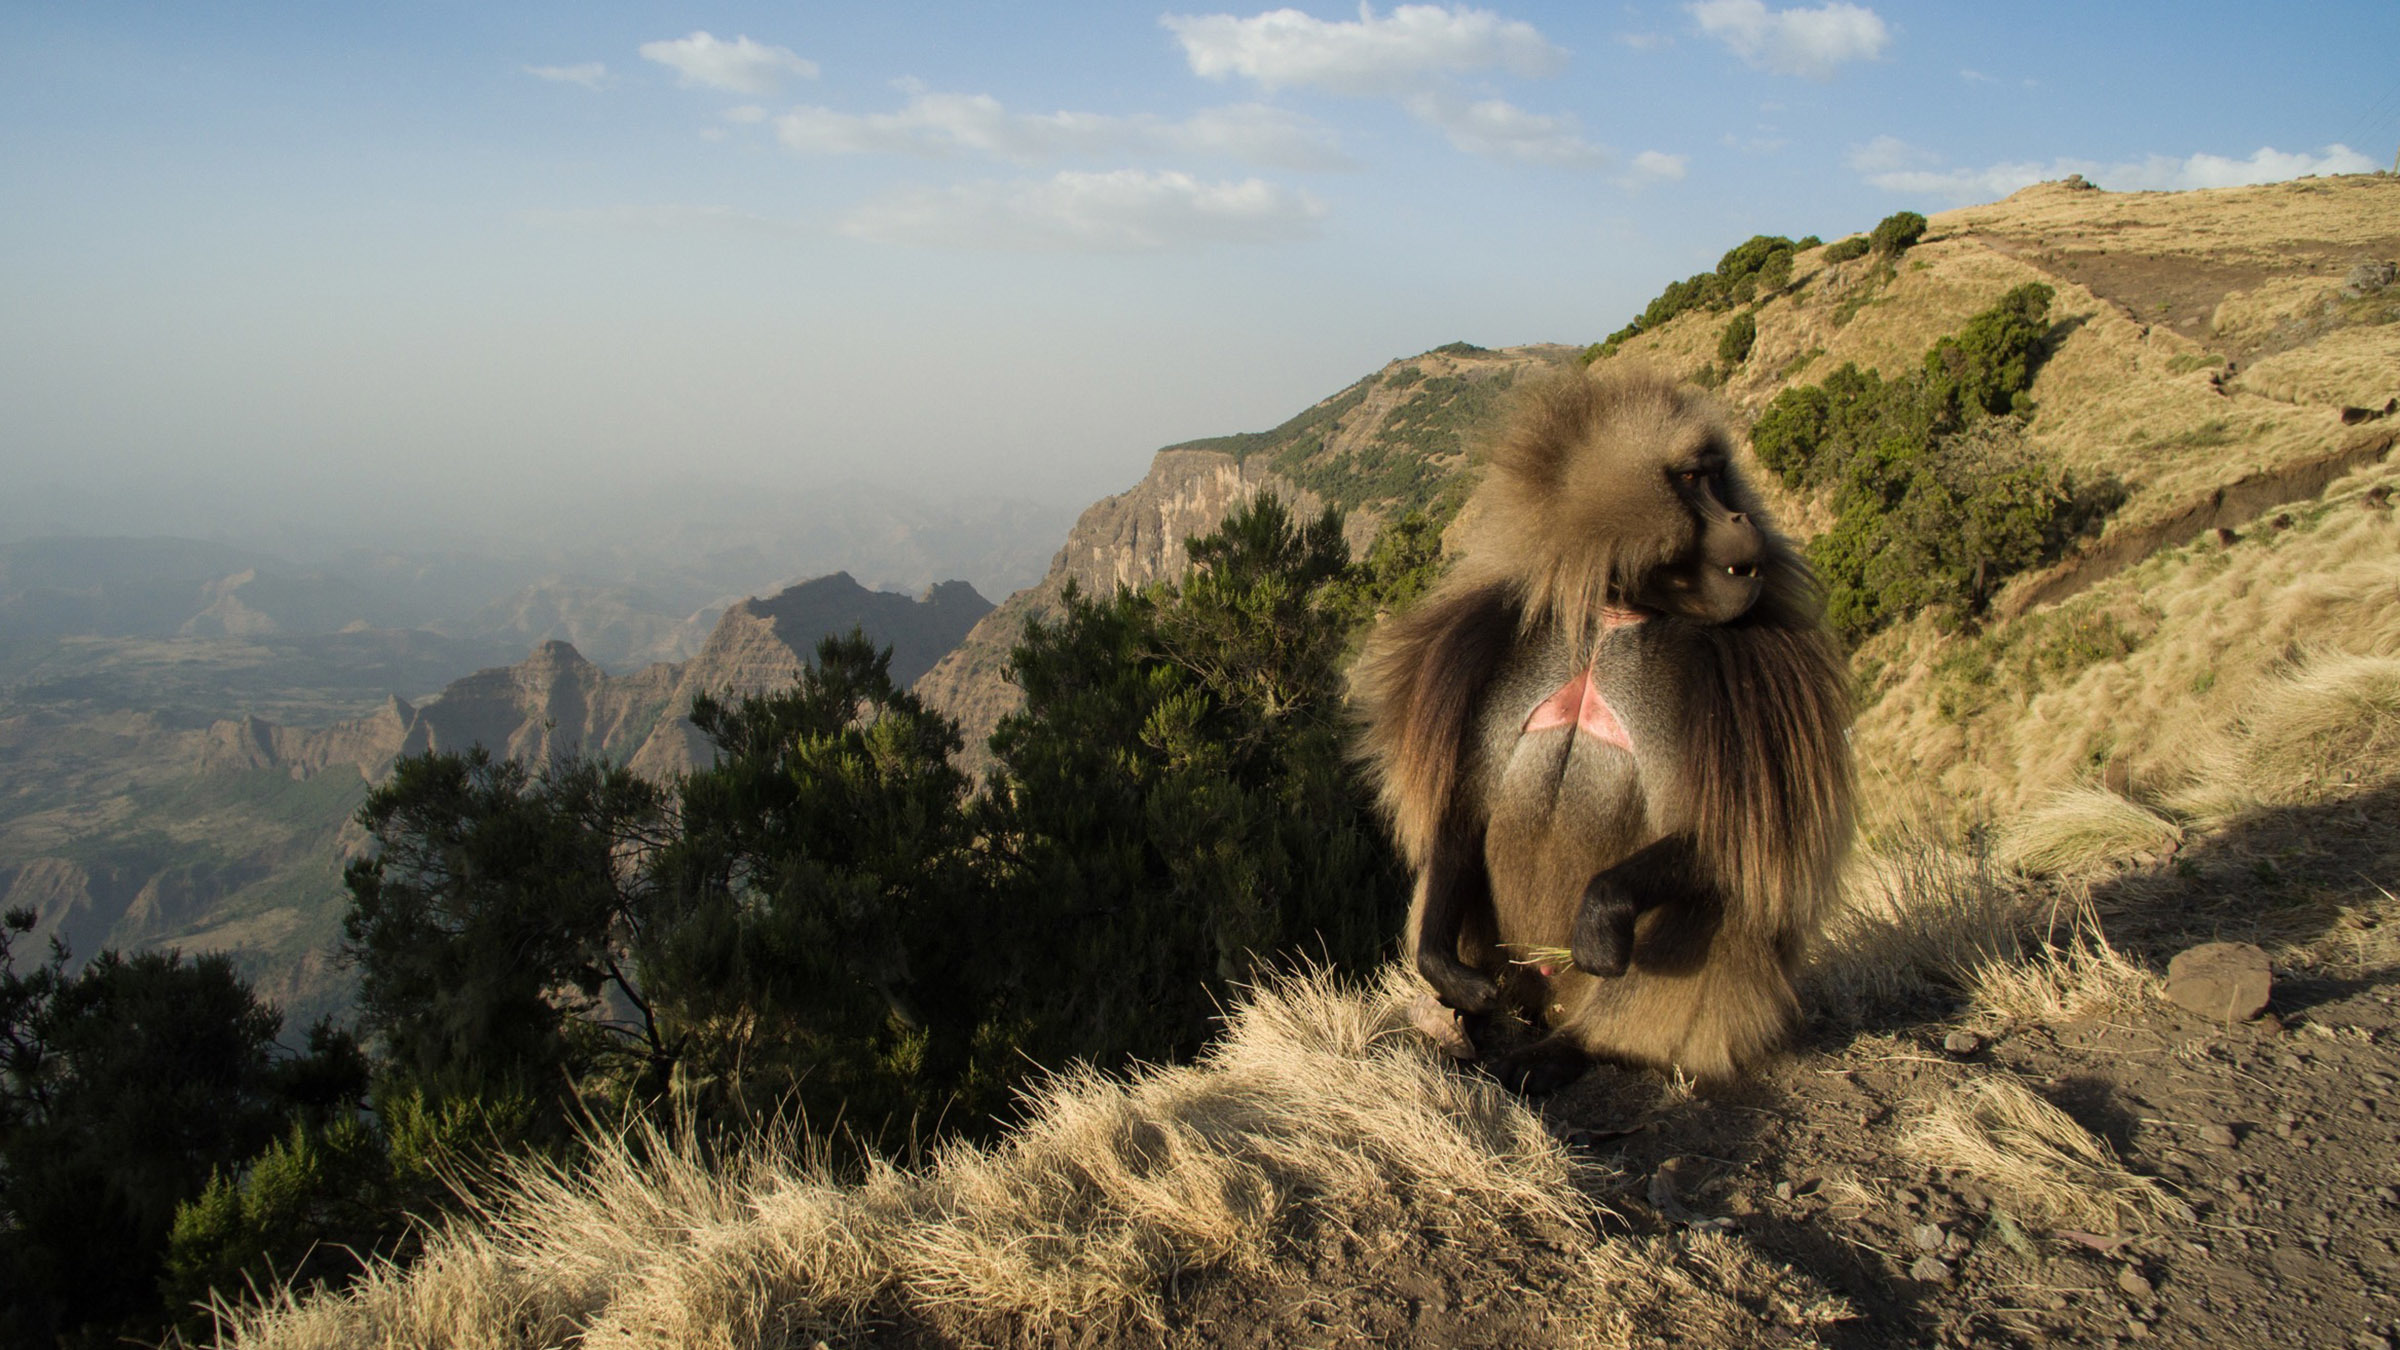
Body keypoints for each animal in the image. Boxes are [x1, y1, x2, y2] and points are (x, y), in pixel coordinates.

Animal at [1354, 368, 1854, 1092]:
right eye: (1694, 479)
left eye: (1716, 478)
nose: (1741, 519)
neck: (1616, 612)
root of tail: (1549, 1003)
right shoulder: (1494, 639)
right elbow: (1465, 806)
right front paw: (1444, 969)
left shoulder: (1748, 674)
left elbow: (1730, 835)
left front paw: (1601, 913)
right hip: (1514, 971)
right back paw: (1456, 1026)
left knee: (1719, 898)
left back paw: (1564, 1053)